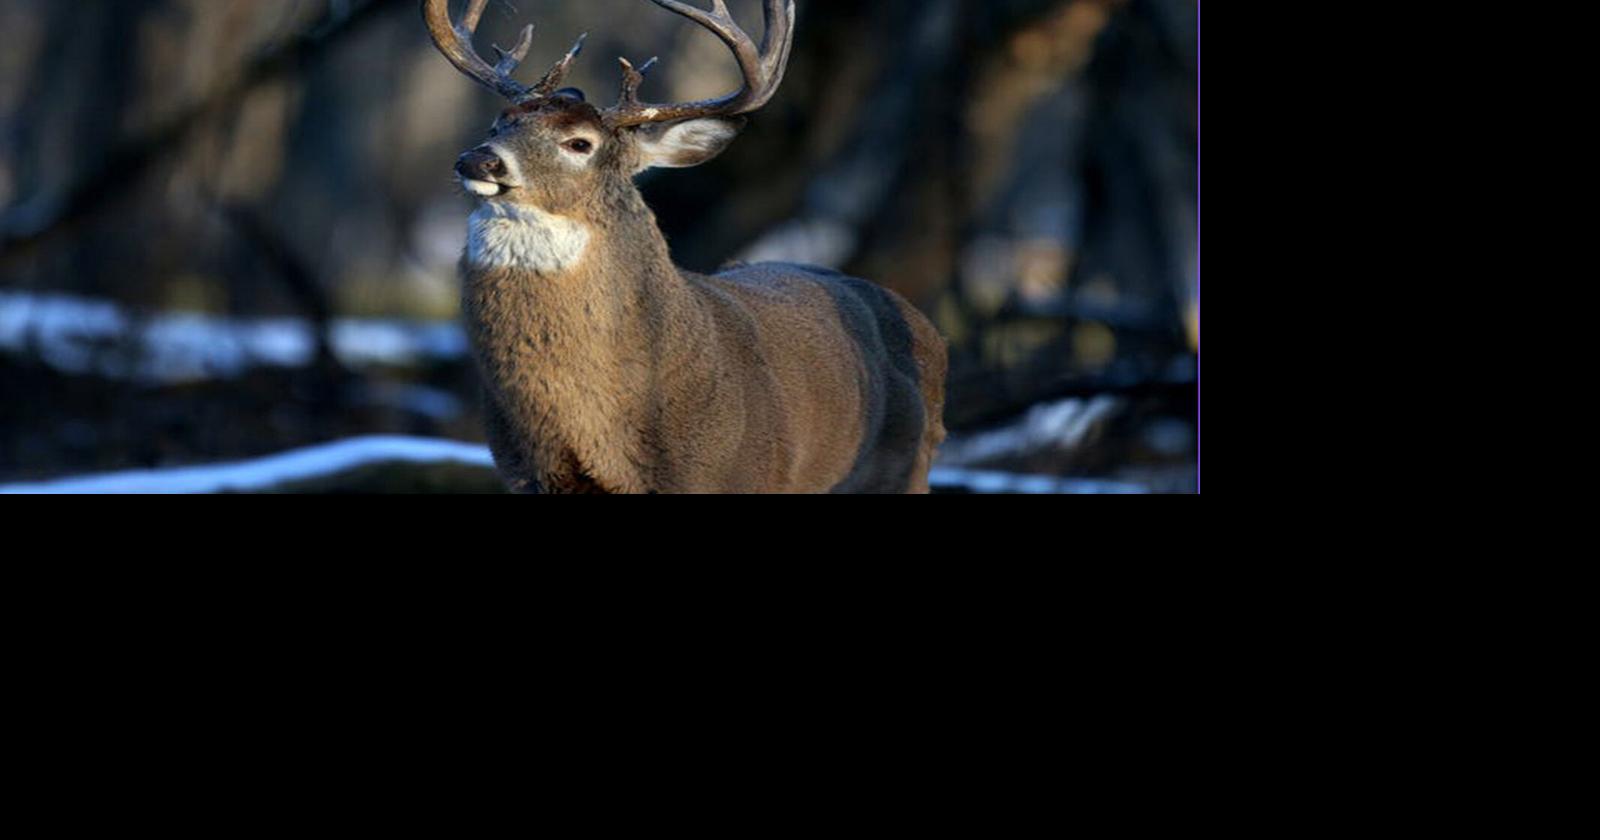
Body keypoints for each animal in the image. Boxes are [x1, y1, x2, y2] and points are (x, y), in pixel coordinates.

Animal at [422, 0, 946, 493]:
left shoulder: (742, 473)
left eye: (579, 143)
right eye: (499, 124)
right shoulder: (524, 476)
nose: (478, 160)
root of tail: (928, 330)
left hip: (906, 468)